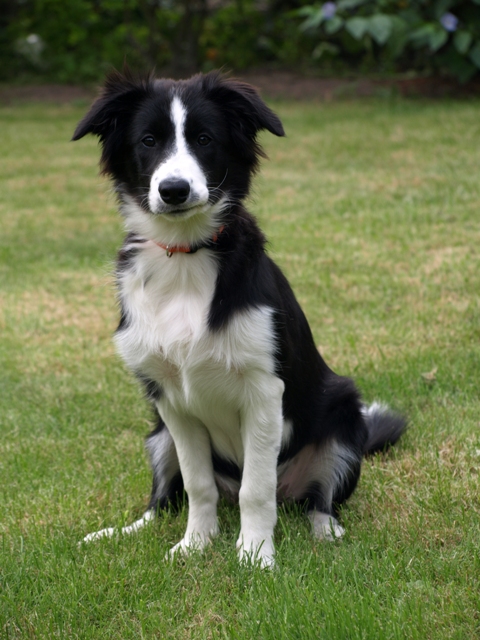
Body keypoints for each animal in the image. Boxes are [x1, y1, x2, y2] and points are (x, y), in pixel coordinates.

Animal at [74, 70, 404, 568]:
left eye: (204, 139)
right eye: (148, 141)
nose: (173, 190)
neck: (186, 259)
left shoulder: (264, 391)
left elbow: (256, 488)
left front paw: (255, 554)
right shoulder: (170, 400)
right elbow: (197, 485)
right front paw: (195, 545)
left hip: (343, 419)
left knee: (317, 497)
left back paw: (325, 530)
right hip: (158, 436)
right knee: (163, 501)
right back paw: (120, 532)